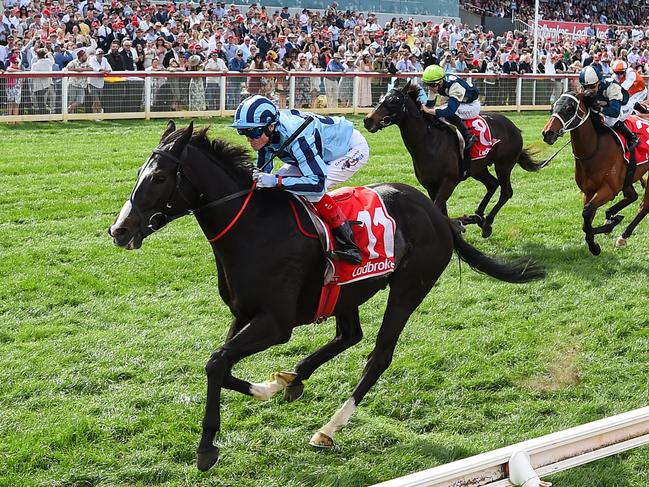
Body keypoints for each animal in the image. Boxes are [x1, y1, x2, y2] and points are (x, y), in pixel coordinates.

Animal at [109, 121, 544, 472]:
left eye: (159, 178)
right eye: (139, 173)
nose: (119, 230)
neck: (253, 227)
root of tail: (436, 213)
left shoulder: (276, 324)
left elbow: (217, 363)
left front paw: (206, 449)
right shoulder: (243, 313)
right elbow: (221, 364)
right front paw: (272, 387)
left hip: (408, 289)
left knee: (378, 356)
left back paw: (328, 428)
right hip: (348, 292)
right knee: (349, 335)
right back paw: (294, 378)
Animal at [362, 81, 544, 239]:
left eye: (394, 101)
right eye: (381, 98)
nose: (368, 120)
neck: (429, 141)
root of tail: (513, 127)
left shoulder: (449, 181)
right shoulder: (431, 185)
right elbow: (441, 211)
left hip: (503, 165)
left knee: (506, 192)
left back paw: (486, 224)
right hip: (477, 168)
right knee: (492, 184)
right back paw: (477, 216)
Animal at [540, 90, 649, 255]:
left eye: (569, 108)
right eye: (554, 106)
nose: (548, 133)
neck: (594, 149)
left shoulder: (608, 190)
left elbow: (587, 213)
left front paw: (597, 242)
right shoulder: (589, 192)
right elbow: (586, 222)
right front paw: (601, 234)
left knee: (644, 205)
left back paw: (623, 234)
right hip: (627, 178)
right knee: (632, 196)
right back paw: (612, 217)